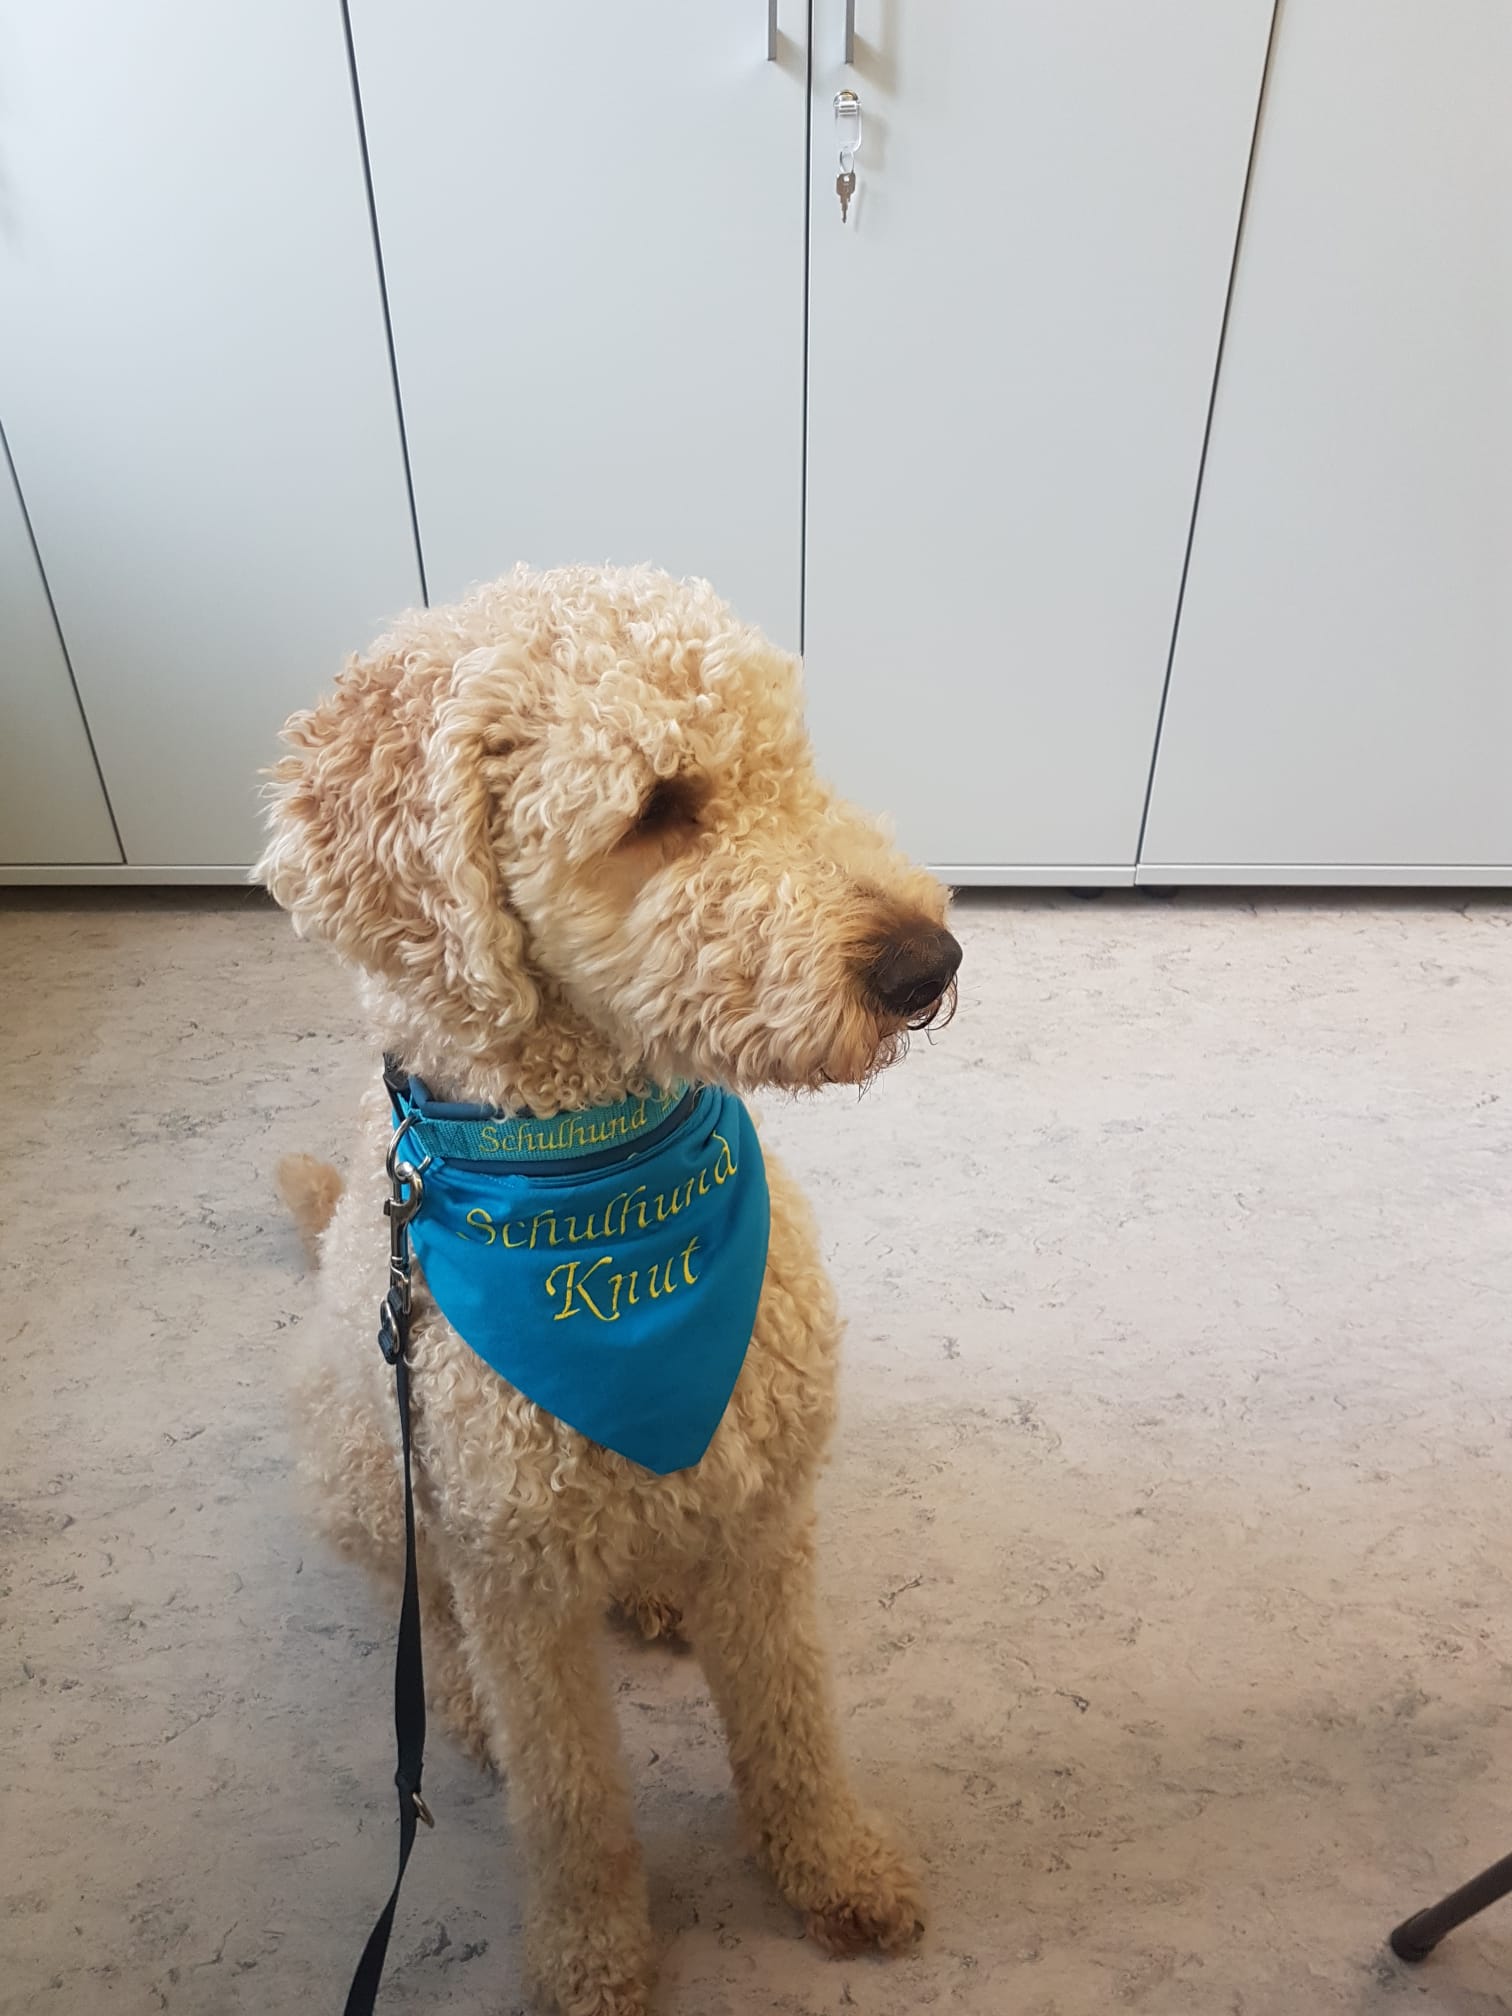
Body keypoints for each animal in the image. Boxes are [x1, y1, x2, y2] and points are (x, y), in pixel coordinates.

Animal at [258, 564, 961, 2015]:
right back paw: (463, 1715)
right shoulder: (515, 1585)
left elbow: (795, 1723)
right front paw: (594, 1958)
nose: (930, 965)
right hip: (365, 1474)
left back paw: (650, 1591)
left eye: (790, 760)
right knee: (430, 1628)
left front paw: (834, 1870)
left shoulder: (764, 1522)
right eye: (658, 808)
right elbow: (570, 1803)